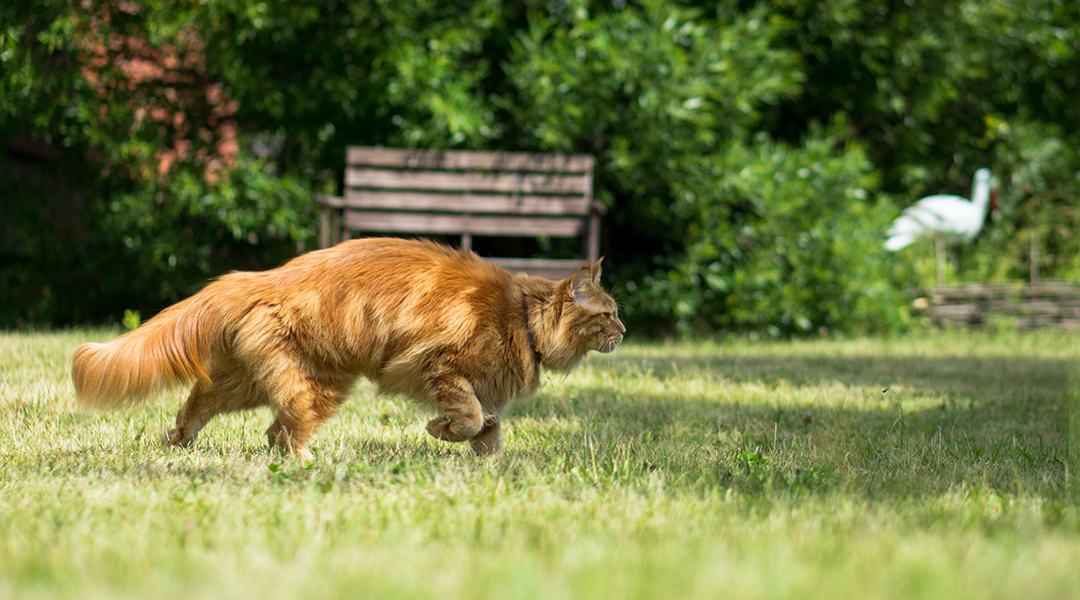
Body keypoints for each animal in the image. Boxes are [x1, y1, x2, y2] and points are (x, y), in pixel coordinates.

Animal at [71, 236, 626, 457]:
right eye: (609, 313)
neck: (523, 319)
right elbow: (468, 418)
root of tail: (257, 277)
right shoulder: (443, 367)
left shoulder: (484, 392)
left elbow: (489, 433)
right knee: (285, 430)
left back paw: (178, 441)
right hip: (319, 385)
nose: (625, 331)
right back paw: (303, 462)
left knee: (208, 406)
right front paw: (440, 430)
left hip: (253, 381)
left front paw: (483, 463)